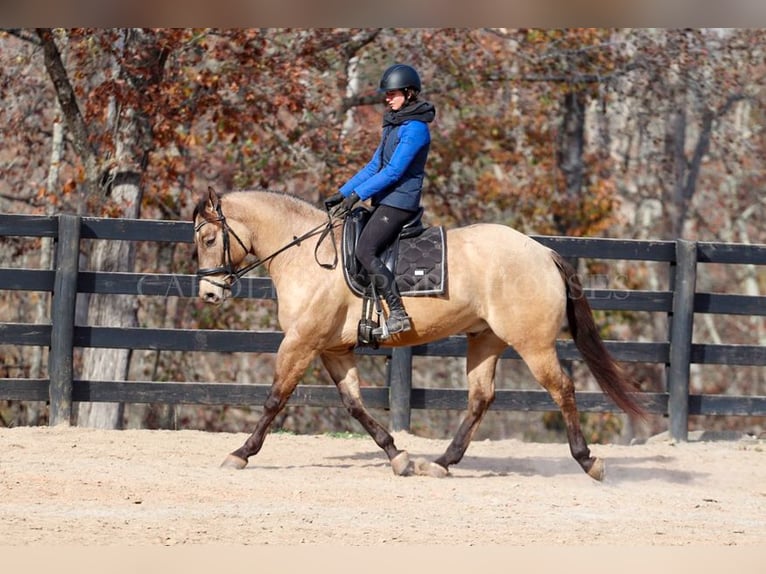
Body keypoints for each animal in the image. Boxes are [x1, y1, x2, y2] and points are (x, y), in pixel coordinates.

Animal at [194, 186, 648, 482]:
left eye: (209, 238)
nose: (209, 293)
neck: (308, 257)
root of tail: (544, 252)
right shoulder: (333, 349)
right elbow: (354, 404)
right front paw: (399, 456)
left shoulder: (301, 343)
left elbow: (275, 399)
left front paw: (240, 454)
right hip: (486, 340)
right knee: (480, 398)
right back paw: (442, 463)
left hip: (532, 344)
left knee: (562, 389)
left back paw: (587, 461)